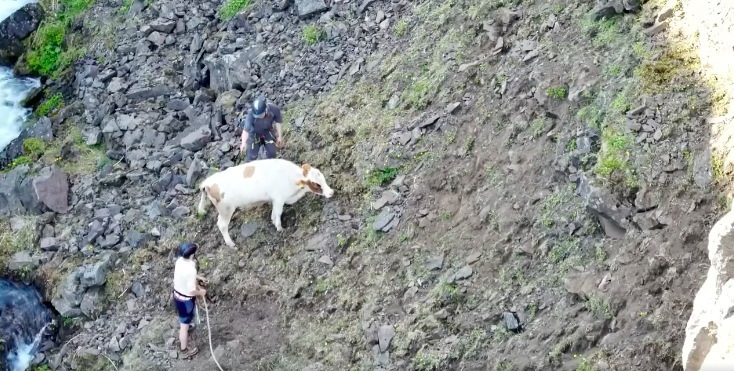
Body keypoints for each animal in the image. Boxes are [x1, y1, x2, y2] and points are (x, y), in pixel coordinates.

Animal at [196, 159, 334, 248]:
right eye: (316, 184)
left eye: (323, 178)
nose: (331, 192)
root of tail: (207, 182)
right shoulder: (279, 199)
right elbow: (278, 214)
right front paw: (280, 228)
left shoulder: (275, 199)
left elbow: (274, 214)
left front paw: (275, 223)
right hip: (226, 209)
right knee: (222, 225)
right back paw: (231, 244)